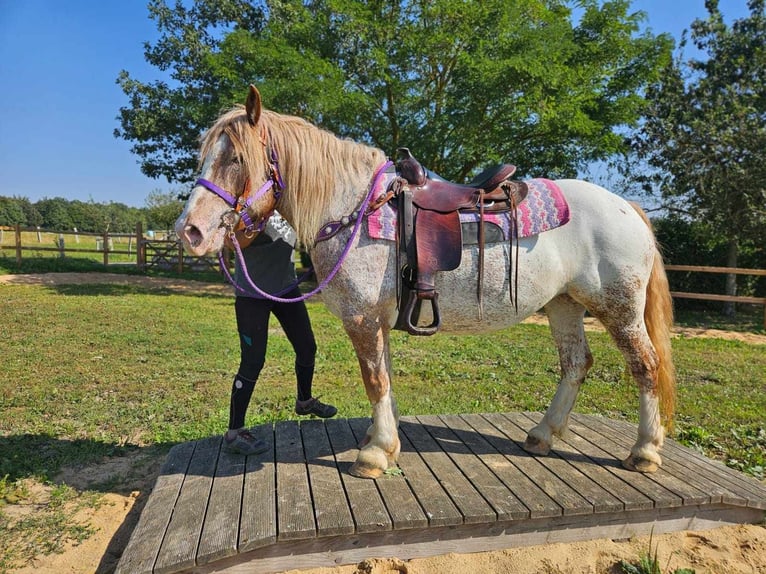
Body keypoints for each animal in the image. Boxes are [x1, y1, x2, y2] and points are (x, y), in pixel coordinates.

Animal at [176, 85, 680, 482]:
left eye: (236, 158)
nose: (190, 231)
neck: (353, 208)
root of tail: (626, 206)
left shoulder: (362, 320)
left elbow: (374, 379)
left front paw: (374, 454)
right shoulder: (377, 321)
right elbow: (385, 378)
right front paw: (386, 438)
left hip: (618, 308)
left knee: (646, 367)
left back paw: (644, 451)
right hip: (563, 304)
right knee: (576, 363)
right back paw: (541, 435)